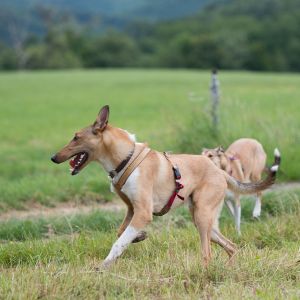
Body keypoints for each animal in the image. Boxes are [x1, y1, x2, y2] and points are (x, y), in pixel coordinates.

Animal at [51, 107, 278, 268]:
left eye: (76, 137)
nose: (53, 157)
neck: (127, 158)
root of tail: (220, 171)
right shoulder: (132, 209)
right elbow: (121, 232)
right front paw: (138, 237)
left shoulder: (143, 212)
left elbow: (119, 242)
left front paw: (105, 265)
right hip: (204, 221)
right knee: (231, 246)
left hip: (203, 217)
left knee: (207, 254)